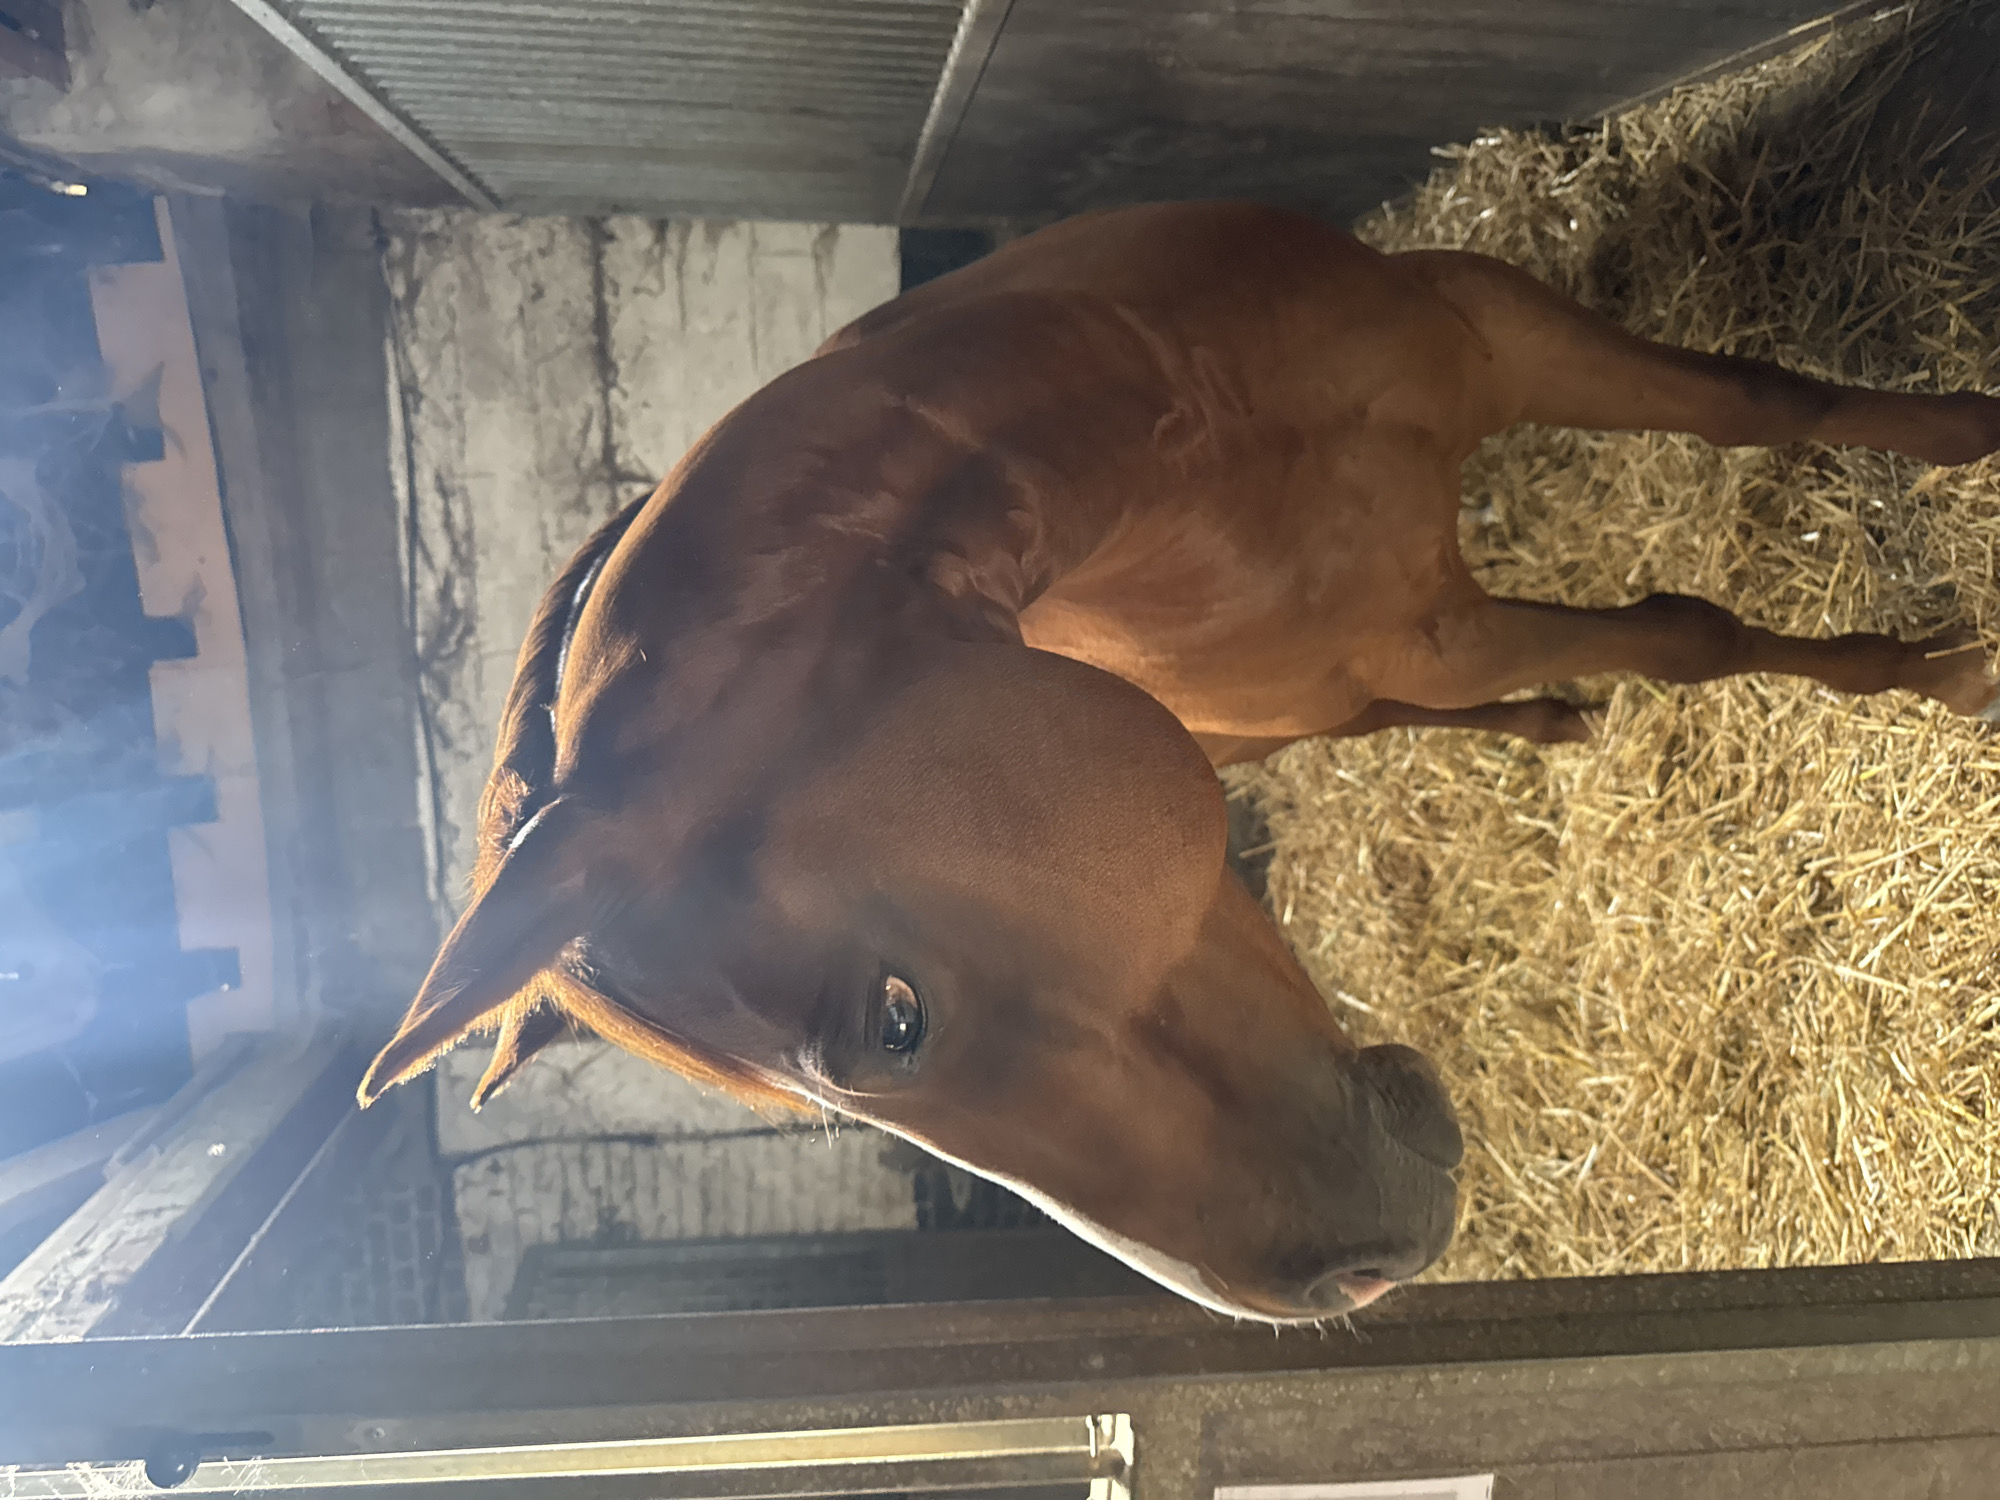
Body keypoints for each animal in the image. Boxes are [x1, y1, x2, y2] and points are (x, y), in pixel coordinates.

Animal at [357, 202, 2000, 1323]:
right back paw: (1547, 726)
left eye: (891, 1021)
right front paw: (1935, 670)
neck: (1191, 437)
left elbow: (1763, 418)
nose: (1345, 1282)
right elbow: (1686, 639)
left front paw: (1960, 463)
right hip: (1336, 695)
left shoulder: (1485, 322)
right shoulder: (1425, 637)